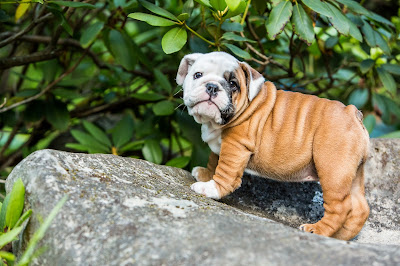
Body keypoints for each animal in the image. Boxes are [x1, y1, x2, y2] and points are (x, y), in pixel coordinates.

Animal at [177, 51, 370, 240]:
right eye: (197, 75)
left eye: (233, 84)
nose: (212, 86)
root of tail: (352, 113)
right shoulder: (220, 147)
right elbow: (214, 160)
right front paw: (205, 175)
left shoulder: (235, 146)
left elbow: (225, 171)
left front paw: (210, 188)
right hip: (352, 173)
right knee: (360, 209)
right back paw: (342, 236)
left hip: (332, 170)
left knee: (341, 207)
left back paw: (317, 230)